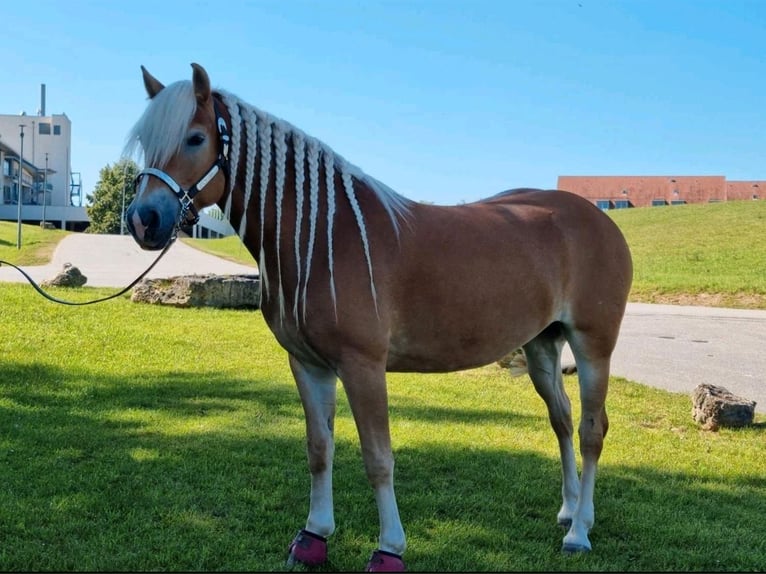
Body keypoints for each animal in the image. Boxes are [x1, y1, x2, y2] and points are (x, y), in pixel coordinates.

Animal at [124, 64, 636, 574]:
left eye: (195, 138)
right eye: (147, 142)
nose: (143, 219)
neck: (324, 238)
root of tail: (599, 220)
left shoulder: (363, 367)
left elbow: (378, 458)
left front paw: (389, 548)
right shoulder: (308, 365)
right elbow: (319, 449)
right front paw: (313, 537)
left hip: (593, 345)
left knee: (591, 431)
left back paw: (579, 532)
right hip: (541, 345)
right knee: (562, 419)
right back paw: (569, 508)